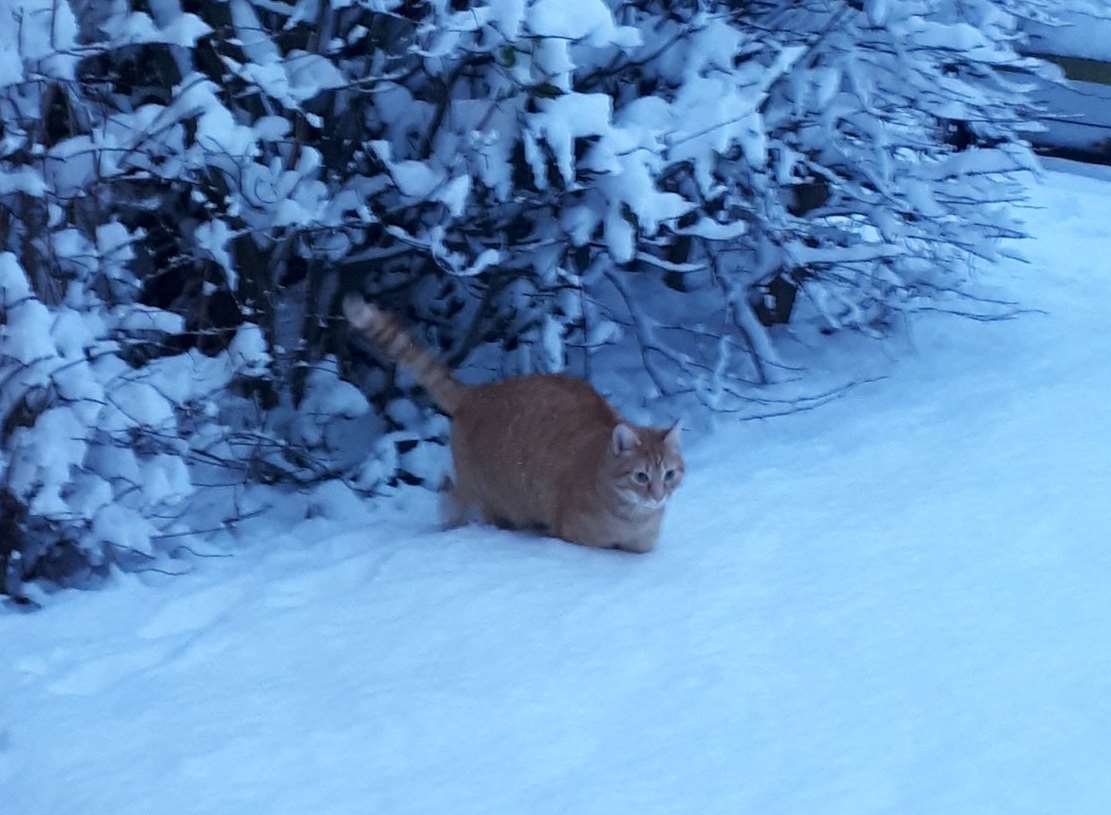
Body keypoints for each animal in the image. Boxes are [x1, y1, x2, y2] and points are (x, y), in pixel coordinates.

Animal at [342, 293, 679, 555]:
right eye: (641, 476)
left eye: (670, 474)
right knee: (456, 498)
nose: (658, 495)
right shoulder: (572, 535)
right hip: (491, 495)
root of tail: (478, 393)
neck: (632, 520)